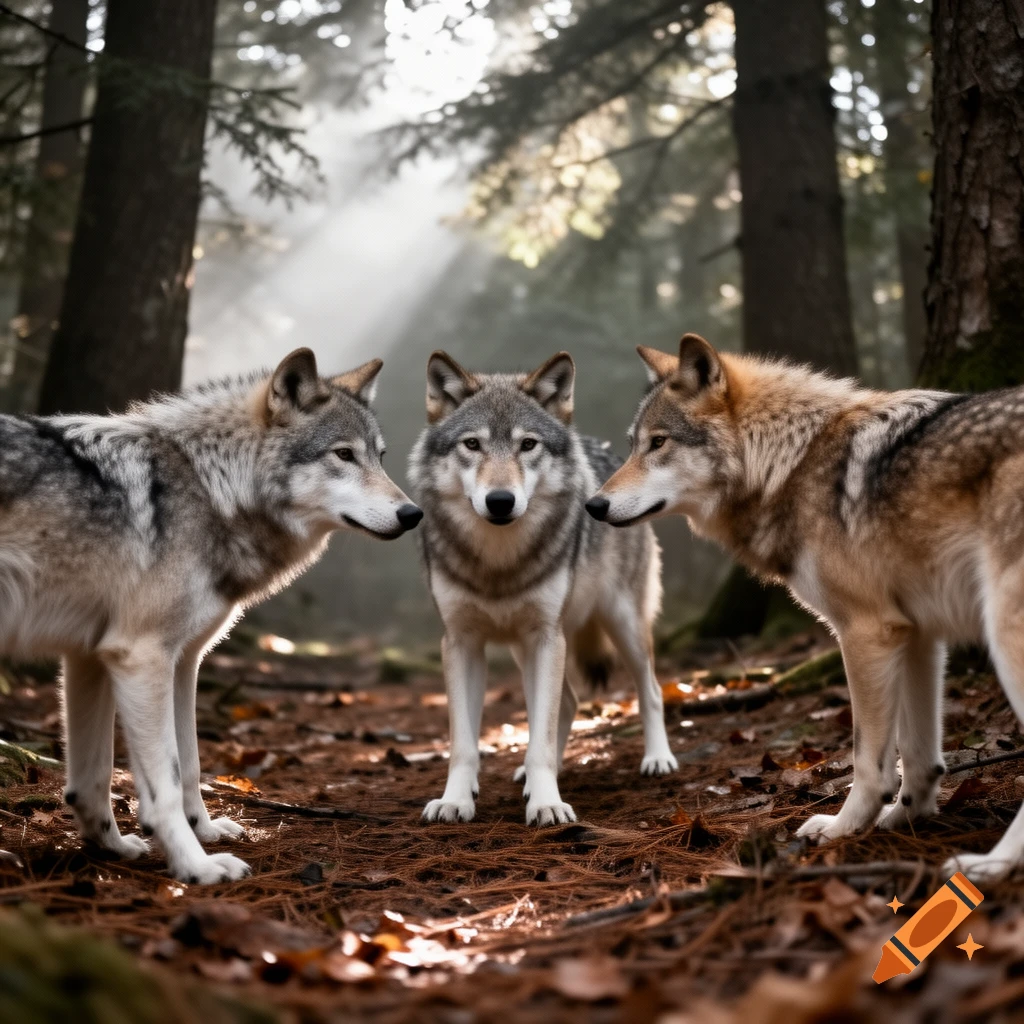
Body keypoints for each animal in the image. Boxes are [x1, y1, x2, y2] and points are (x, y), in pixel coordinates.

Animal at [0, 349, 422, 883]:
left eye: (380, 457)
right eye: (343, 455)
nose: (413, 514)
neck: (211, 487)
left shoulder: (118, 659)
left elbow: (141, 772)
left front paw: (122, 845)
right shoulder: (142, 657)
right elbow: (165, 779)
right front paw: (194, 865)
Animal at [408, 350, 677, 827]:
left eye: (528, 445)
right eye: (472, 445)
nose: (500, 501)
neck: (499, 562)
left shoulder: (546, 638)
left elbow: (541, 737)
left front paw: (547, 803)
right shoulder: (461, 642)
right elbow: (463, 744)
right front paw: (455, 800)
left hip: (621, 624)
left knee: (651, 691)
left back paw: (657, 759)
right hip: (523, 647)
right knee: (568, 702)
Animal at [586, 331, 1024, 882]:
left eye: (658, 443)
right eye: (631, 445)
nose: (593, 505)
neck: (790, 463)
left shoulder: (867, 632)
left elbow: (868, 759)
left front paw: (843, 828)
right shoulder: (918, 636)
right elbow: (919, 755)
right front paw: (906, 818)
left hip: (1005, 641)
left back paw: (991, 865)